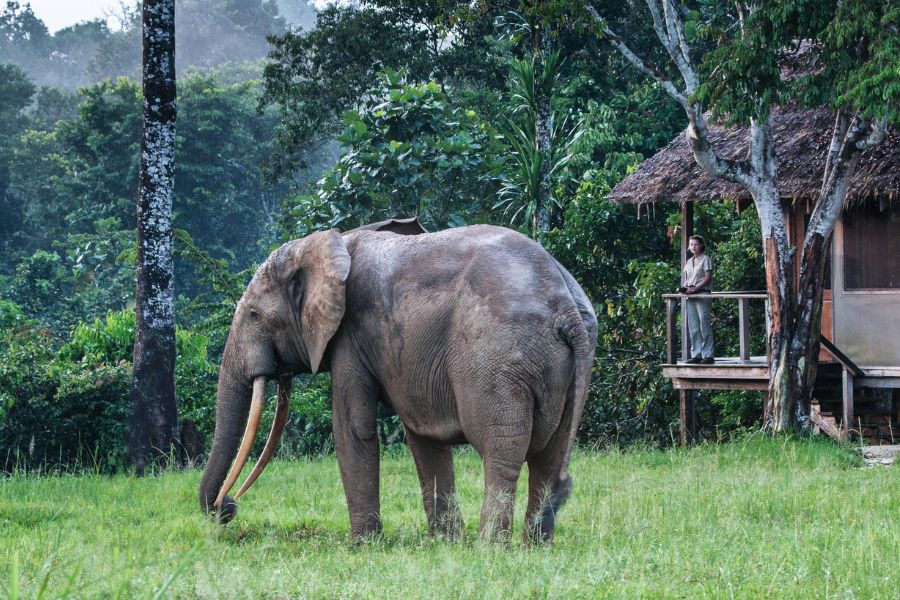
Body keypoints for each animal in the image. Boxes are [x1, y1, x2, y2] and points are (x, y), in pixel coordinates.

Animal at [198, 218, 597, 543]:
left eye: (253, 315)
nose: (226, 507)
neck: (330, 242)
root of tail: (565, 307)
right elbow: (422, 435)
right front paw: (444, 543)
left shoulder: (350, 335)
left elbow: (353, 427)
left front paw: (363, 545)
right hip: (566, 364)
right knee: (550, 456)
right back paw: (534, 546)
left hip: (497, 358)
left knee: (501, 451)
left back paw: (491, 549)